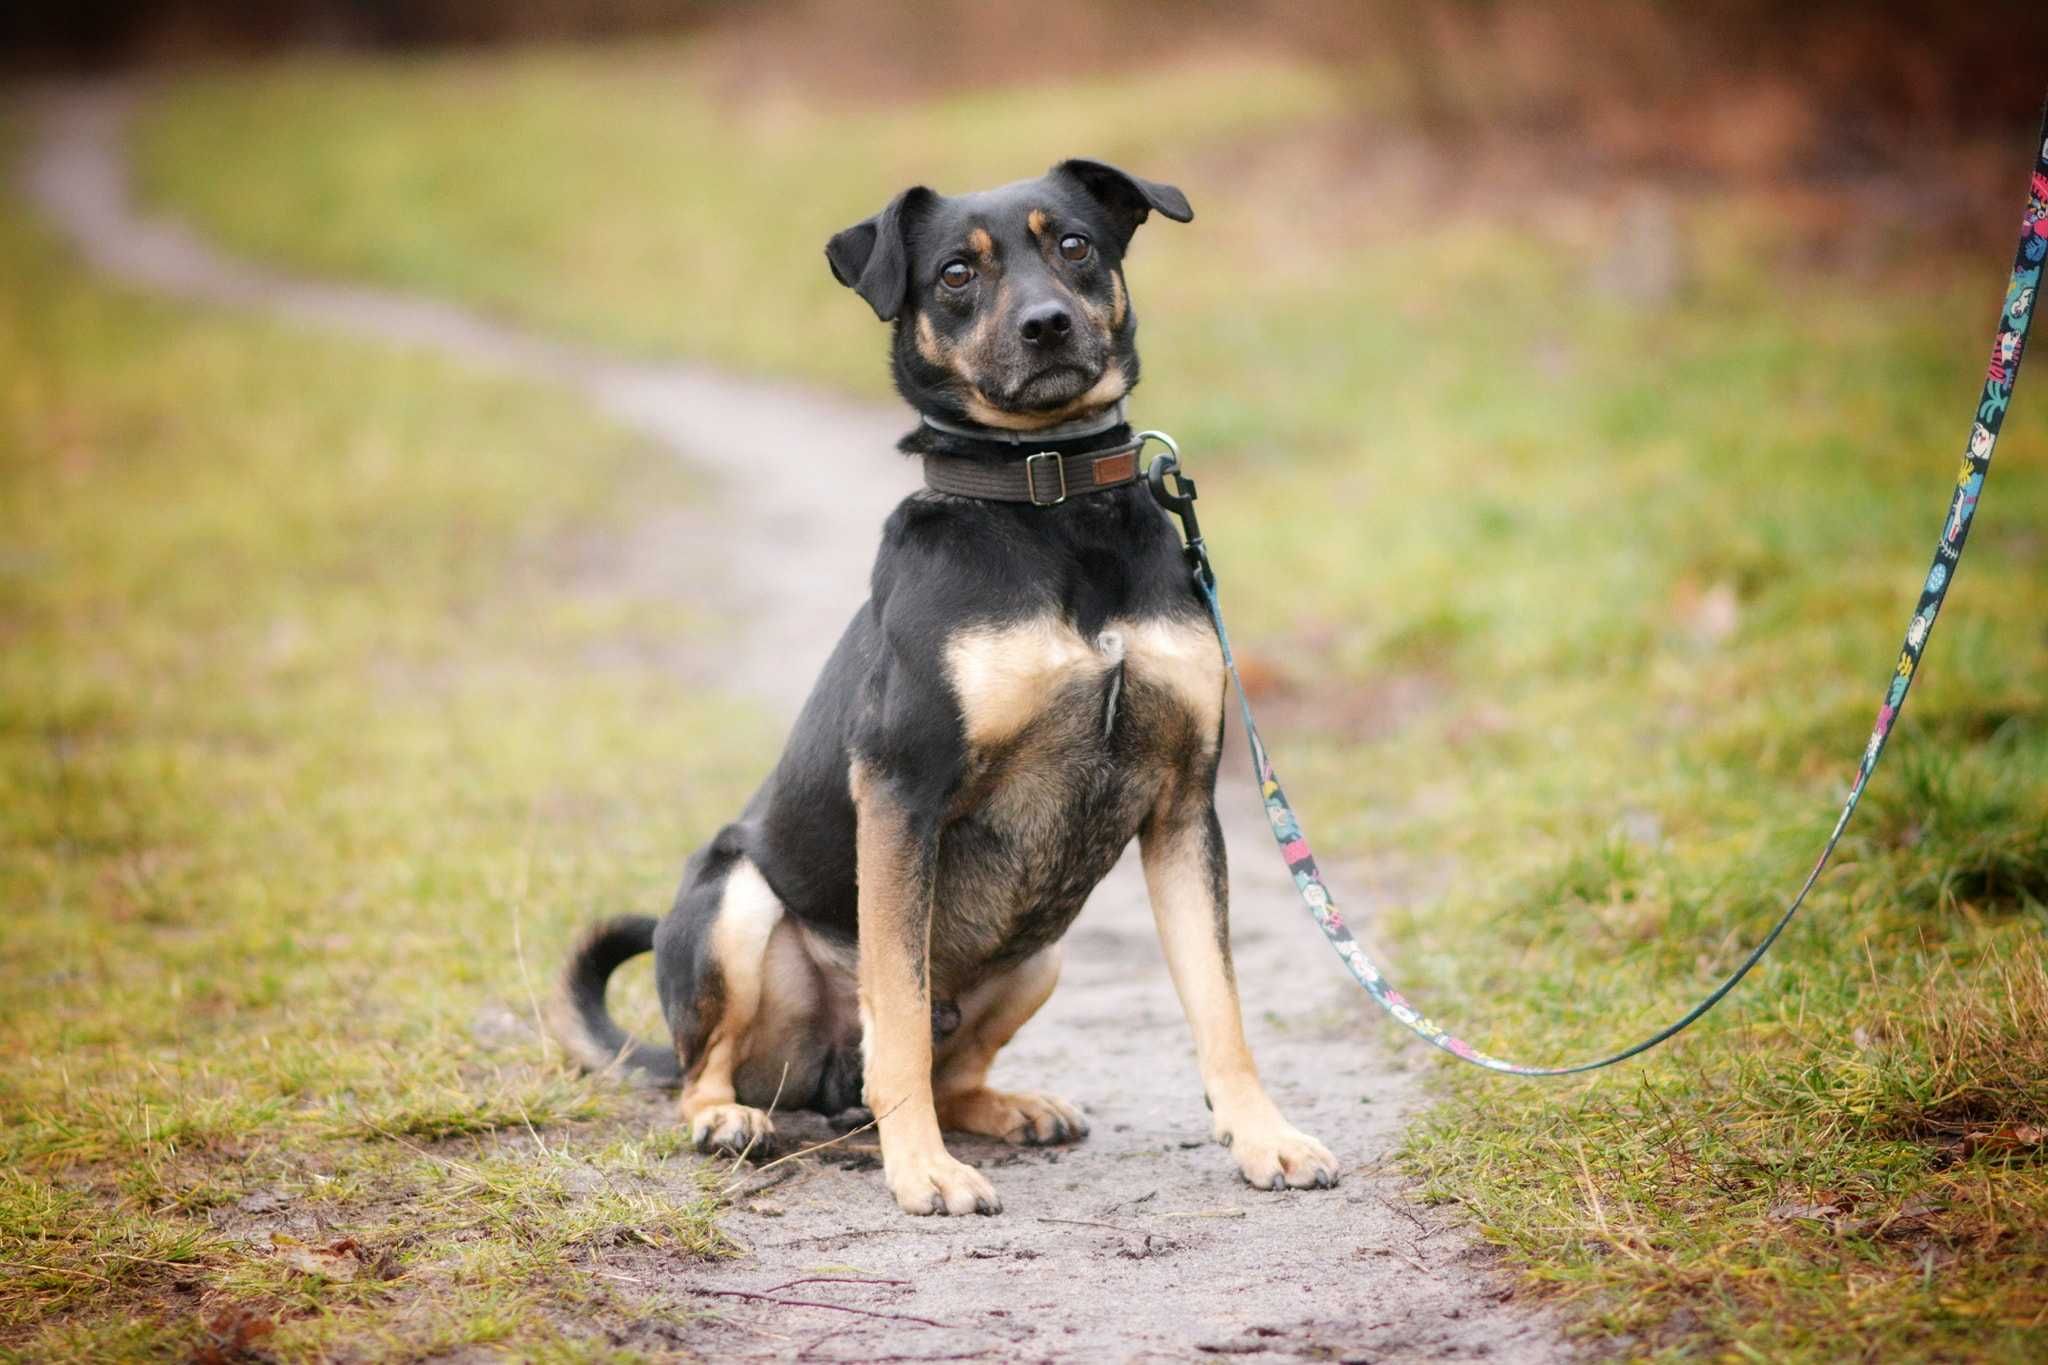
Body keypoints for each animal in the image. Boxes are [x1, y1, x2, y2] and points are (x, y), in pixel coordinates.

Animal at [548, 160, 1343, 1219]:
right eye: (957, 273)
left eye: (1075, 246)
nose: (1047, 324)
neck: (1053, 497)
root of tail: (820, 1085)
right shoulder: (901, 790)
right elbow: (895, 1001)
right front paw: (920, 1169)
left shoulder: (1183, 805)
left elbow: (1220, 1004)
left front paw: (1264, 1138)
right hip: (734, 903)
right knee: (713, 1068)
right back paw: (734, 1119)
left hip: (1041, 952)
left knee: (949, 1067)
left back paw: (1011, 1107)